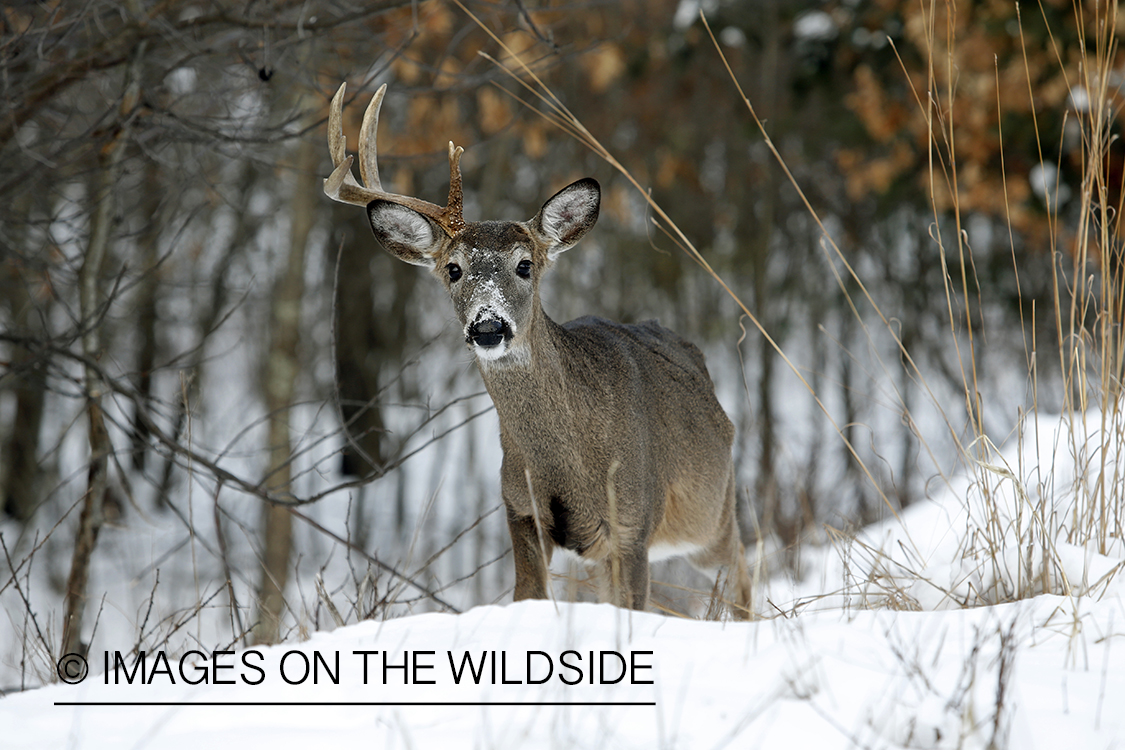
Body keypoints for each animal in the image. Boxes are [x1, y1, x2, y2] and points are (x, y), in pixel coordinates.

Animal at [321, 83, 751, 620]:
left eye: (525, 265)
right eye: (454, 269)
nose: (488, 326)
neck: (568, 462)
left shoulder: (632, 519)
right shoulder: (520, 509)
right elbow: (527, 596)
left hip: (710, 514)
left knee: (743, 567)